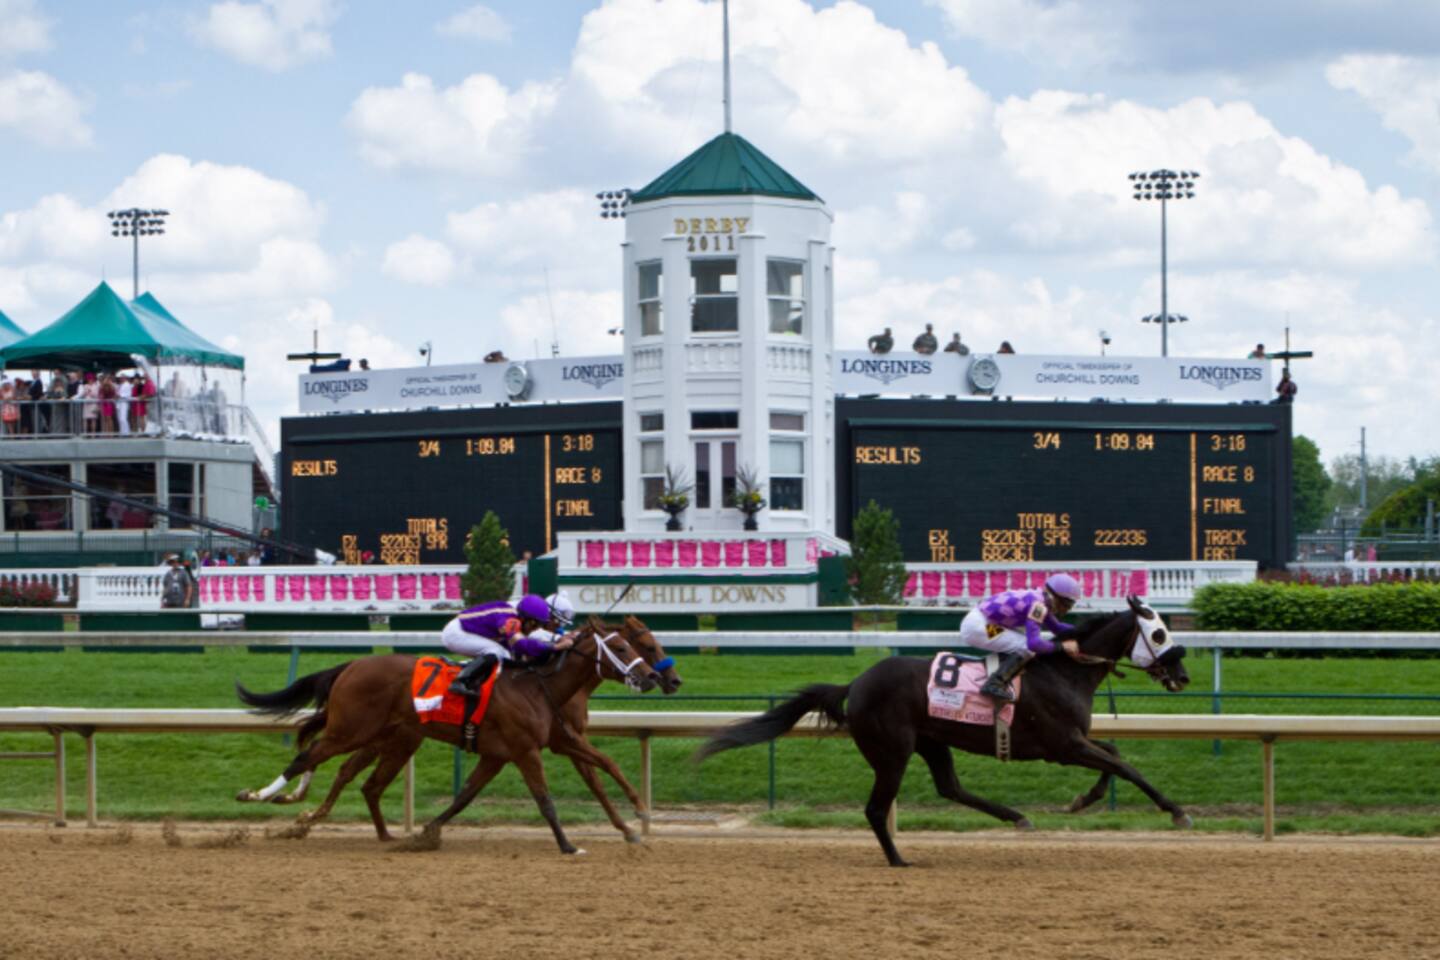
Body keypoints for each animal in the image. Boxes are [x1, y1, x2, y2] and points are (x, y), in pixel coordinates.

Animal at [242, 616, 681, 845]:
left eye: (642, 645)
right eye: (628, 647)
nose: (662, 679)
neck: (539, 685)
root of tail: (351, 665)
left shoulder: (515, 750)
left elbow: (466, 796)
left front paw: (635, 818)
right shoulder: (529, 749)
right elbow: (547, 797)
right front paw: (574, 843)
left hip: (387, 737)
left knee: (354, 775)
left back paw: (356, 828)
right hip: (352, 729)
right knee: (309, 755)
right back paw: (261, 796)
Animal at [697, 596, 1192, 867]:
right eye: (1159, 634)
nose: (1183, 675)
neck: (1065, 670)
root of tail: (855, 683)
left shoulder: (1072, 742)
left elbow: (1114, 755)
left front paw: (1084, 799)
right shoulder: (1062, 745)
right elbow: (1126, 767)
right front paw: (1176, 811)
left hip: (932, 742)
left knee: (950, 787)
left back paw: (1016, 816)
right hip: (892, 751)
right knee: (877, 809)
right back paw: (898, 859)